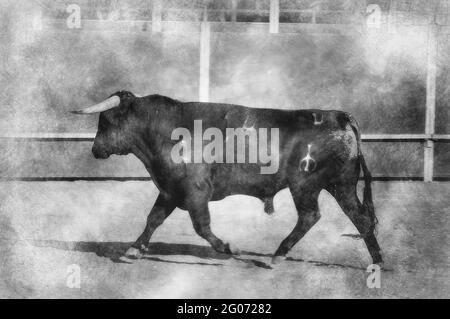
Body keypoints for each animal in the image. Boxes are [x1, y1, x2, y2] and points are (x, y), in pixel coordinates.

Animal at [72, 91, 382, 266]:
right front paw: (134, 249)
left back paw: (278, 255)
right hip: (341, 185)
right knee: (360, 218)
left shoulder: (196, 192)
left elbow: (201, 226)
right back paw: (377, 261)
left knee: (311, 216)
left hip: (306, 186)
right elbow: (153, 219)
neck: (164, 129)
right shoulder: (170, 190)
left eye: (105, 121)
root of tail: (339, 116)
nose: (95, 149)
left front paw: (228, 247)